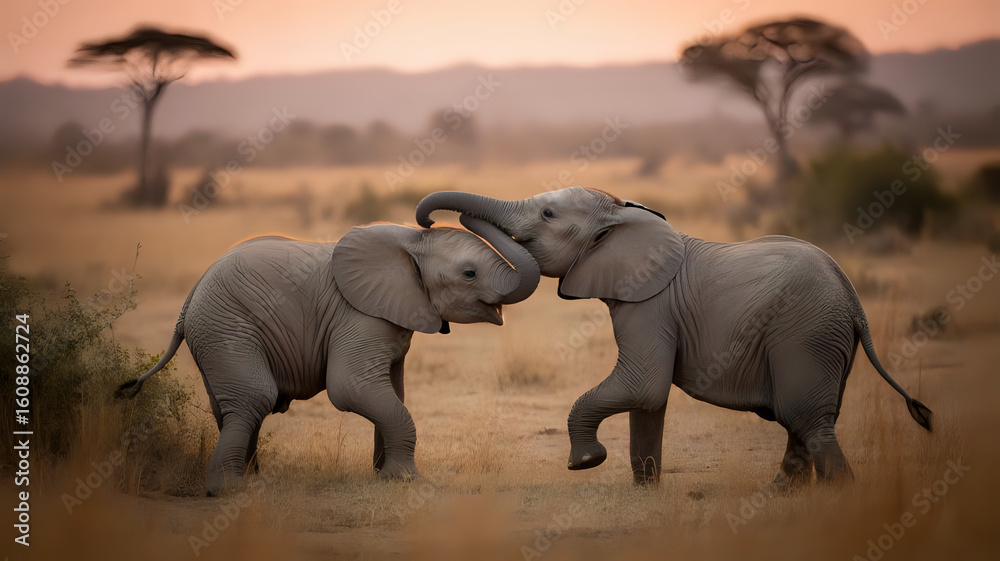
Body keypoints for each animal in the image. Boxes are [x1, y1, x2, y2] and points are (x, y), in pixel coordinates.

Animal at [117, 219, 539, 495]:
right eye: (469, 274)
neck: (410, 242)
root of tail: (187, 304)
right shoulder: (360, 315)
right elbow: (351, 388)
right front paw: (404, 480)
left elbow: (395, 393)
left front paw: (383, 475)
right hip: (227, 327)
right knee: (254, 397)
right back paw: (231, 489)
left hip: (214, 335)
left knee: (232, 407)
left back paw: (250, 478)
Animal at [415, 186, 933, 486]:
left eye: (546, 213)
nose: (430, 221)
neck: (624, 217)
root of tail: (852, 297)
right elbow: (648, 400)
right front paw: (645, 488)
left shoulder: (651, 305)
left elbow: (643, 385)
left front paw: (585, 463)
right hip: (821, 337)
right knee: (804, 423)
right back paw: (782, 494)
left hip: (806, 332)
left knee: (807, 419)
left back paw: (836, 498)